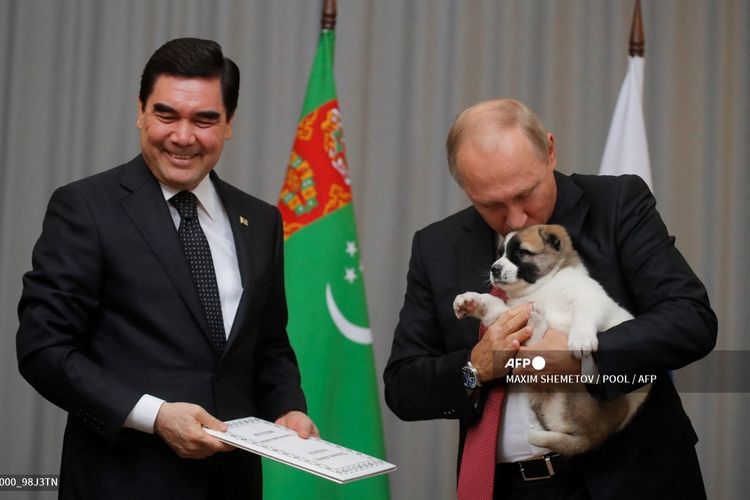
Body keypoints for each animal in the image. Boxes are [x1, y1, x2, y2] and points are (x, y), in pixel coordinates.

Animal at [452, 225, 652, 456]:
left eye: (520, 252)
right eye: (500, 253)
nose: (494, 268)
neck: (543, 287)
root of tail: (594, 437)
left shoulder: (589, 298)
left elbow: (584, 315)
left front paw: (581, 339)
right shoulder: (512, 313)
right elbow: (492, 304)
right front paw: (471, 301)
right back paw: (536, 321)